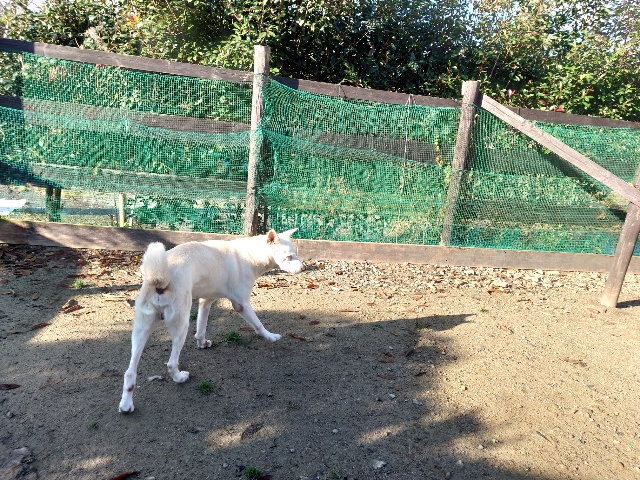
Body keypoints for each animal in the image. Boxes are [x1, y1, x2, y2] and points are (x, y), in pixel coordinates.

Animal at [118, 228, 305, 413]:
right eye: (289, 256)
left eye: (295, 254)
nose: (303, 267)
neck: (251, 254)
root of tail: (159, 280)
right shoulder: (242, 304)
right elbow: (258, 325)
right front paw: (271, 337)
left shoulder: (206, 301)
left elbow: (201, 325)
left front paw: (202, 343)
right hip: (181, 325)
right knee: (171, 363)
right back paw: (179, 377)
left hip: (141, 329)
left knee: (129, 371)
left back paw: (126, 405)